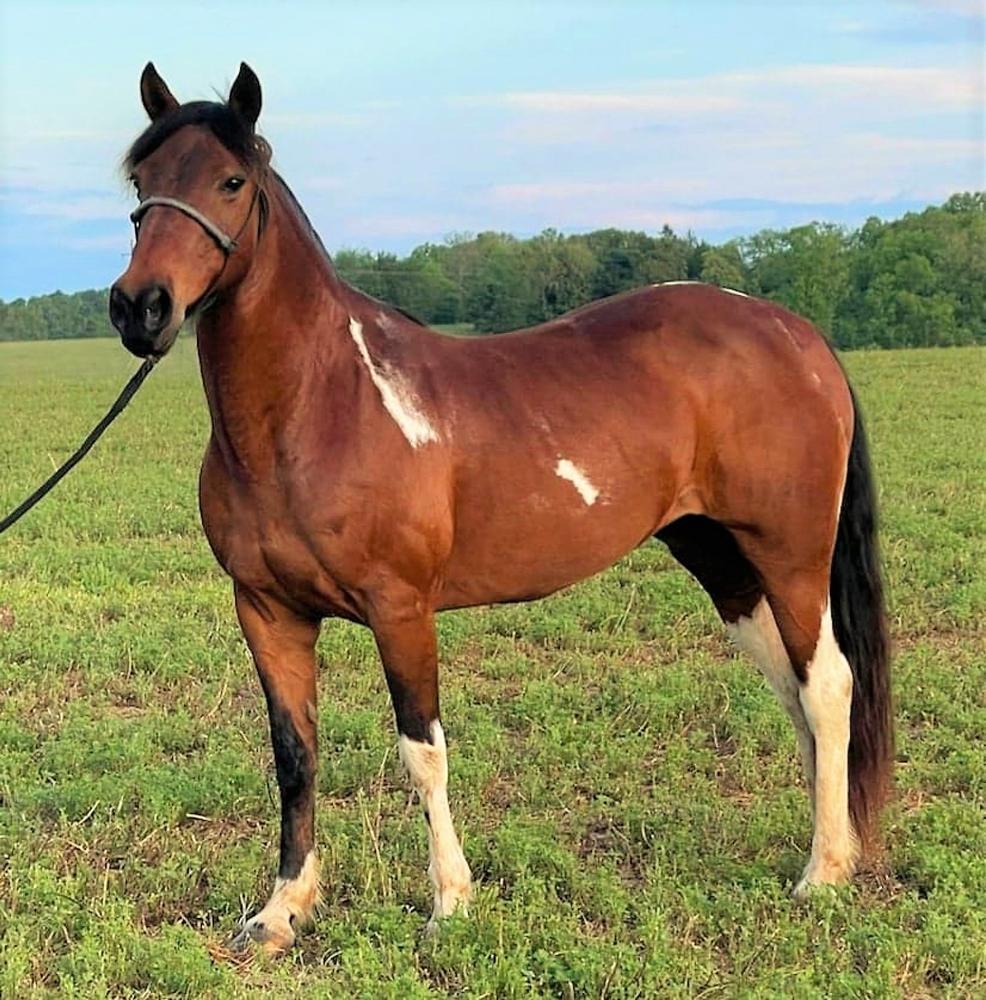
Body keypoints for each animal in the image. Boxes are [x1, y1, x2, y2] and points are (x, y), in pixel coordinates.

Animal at [109, 62, 893, 954]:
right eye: (141, 180)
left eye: (231, 181)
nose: (141, 306)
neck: (319, 406)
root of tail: (800, 336)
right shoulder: (268, 611)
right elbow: (294, 755)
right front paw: (282, 911)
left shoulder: (400, 609)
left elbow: (422, 750)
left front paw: (450, 901)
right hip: (721, 558)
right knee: (795, 693)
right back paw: (832, 848)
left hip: (790, 556)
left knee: (828, 685)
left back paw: (822, 874)